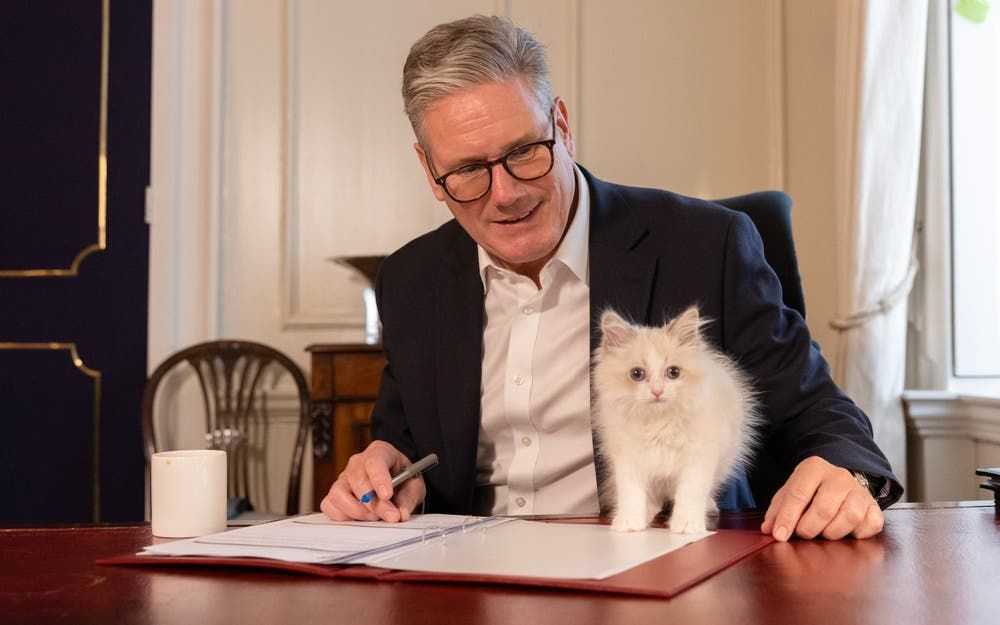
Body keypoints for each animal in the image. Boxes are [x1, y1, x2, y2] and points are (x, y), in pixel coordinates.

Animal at [592, 306, 756, 532]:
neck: (659, 423)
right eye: (637, 374)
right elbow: (631, 493)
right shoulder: (627, 458)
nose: (657, 391)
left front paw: (687, 524)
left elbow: (690, 493)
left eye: (673, 372)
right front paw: (629, 521)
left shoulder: (698, 457)